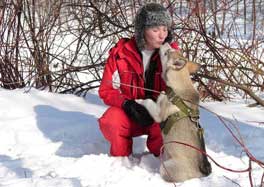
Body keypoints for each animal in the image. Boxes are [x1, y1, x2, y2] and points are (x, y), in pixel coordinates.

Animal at [137, 43, 211, 182]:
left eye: (167, 52)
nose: (164, 43)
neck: (177, 88)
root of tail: (199, 174)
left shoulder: (158, 113)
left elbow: (148, 101)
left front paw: (138, 100)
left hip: (165, 167)